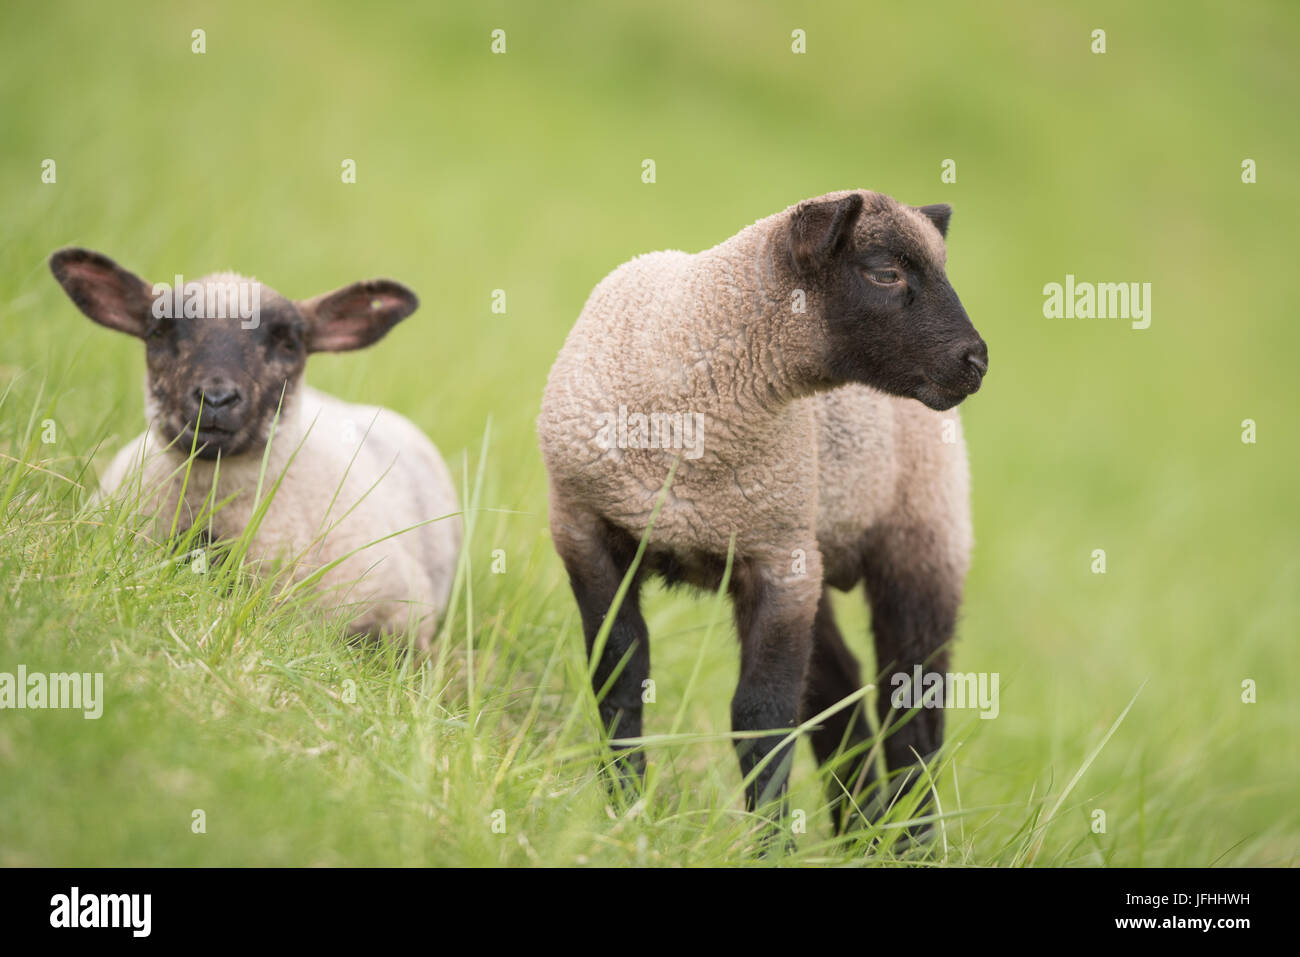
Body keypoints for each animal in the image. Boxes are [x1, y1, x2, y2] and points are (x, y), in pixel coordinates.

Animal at [538, 188, 982, 832]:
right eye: (884, 272)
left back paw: (905, 839)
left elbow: (762, 718)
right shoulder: (584, 529)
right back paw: (861, 832)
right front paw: (626, 812)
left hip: (921, 538)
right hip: (822, 555)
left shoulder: (778, 561)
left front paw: (770, 841)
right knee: (841, 690)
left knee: (914, 715)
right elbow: (618, 678)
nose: (977, 361)